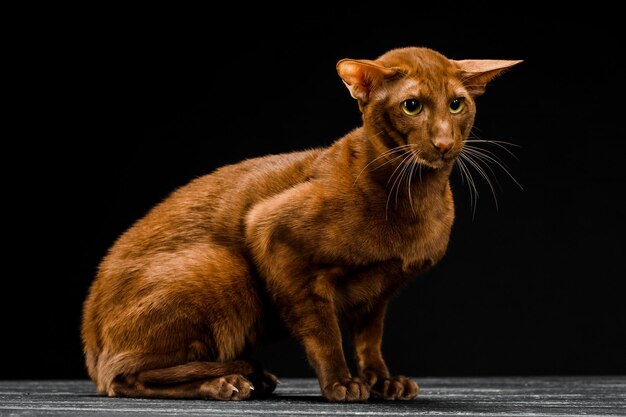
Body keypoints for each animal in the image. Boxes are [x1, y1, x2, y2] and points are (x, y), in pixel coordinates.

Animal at [80, 47, 520, 402]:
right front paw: (342, 384)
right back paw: (227, 383)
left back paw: (253, 378)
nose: (444, 143)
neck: (416, 194)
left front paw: (383, 381)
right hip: (224, 265)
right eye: (412, 106)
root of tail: (90, 336)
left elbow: (370, 340)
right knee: (124, 376)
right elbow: (323, 332)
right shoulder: (271, 235)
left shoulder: (379, 291)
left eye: (457, 105)